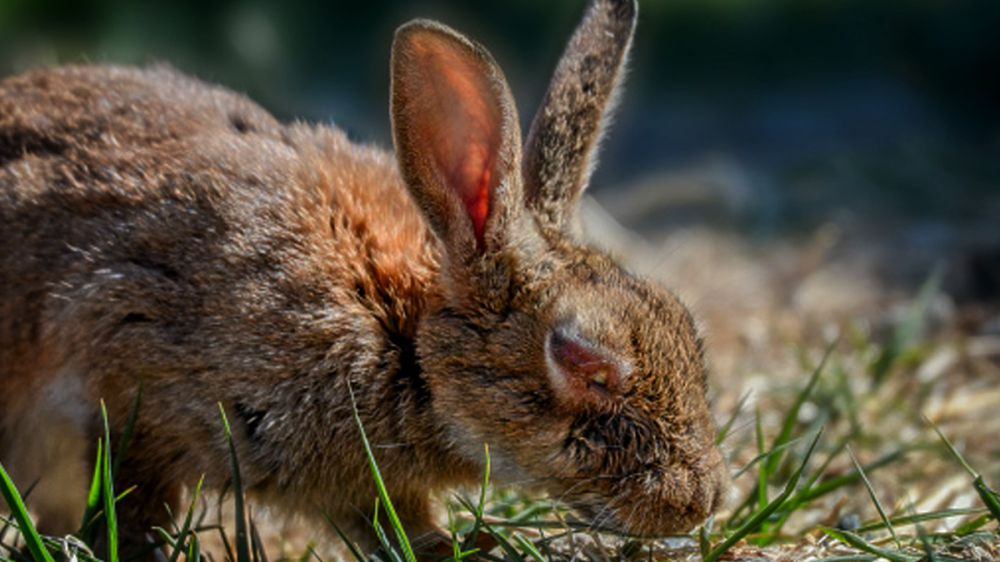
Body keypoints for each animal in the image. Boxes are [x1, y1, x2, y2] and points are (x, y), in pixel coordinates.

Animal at [0, 0, 728, 552]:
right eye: (586, 365)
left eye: (686, 330)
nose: (703, 500)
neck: (401, 333)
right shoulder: (127, 376)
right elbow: (132, 503)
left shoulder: (361, 489)